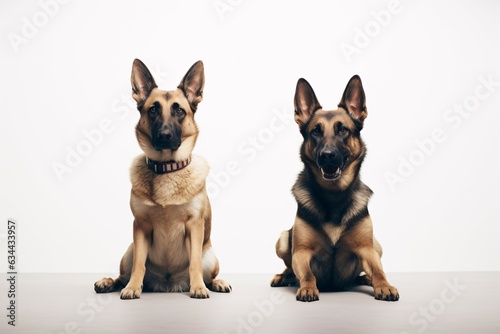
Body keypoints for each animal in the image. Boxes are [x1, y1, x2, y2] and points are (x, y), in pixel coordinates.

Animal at [94, 58, 231, 298]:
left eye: (179, 111)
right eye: (153, 110)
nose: (165, 135)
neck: (167, 168)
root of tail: (168, 283)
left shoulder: (194, 226)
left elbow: (194, 262)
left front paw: (198, 287)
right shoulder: (140, 227)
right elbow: (139, 265)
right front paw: (132, 287)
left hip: (211, 257)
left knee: (209, 274)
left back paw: (216, 283)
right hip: (129, 251)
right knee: (123, 275)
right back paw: (108, 282)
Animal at [270, 74, 398, 302]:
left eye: (343, 130)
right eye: (315, 132)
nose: (327, 155)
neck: (334, 195)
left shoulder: (367, 249)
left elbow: (379, 271)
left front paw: (384, 285)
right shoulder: (301, 252)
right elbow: (307, 273)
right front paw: (307, 287)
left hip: (377, 245)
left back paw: (366, 279)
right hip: (283, 240)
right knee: (290, 268)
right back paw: (282, 277)